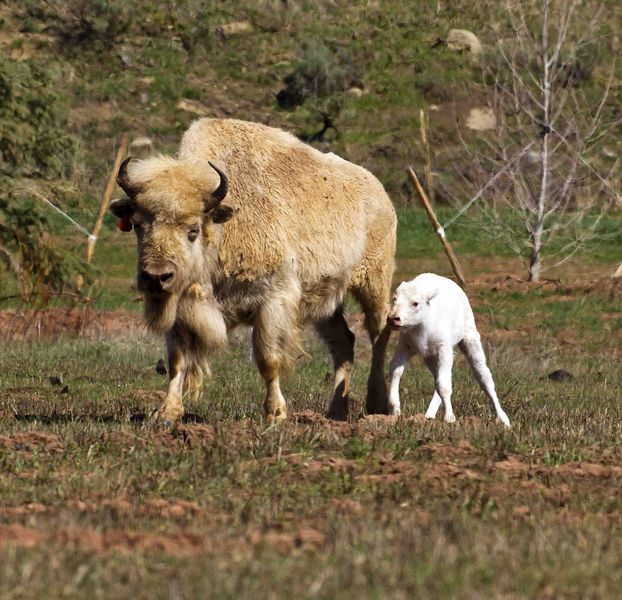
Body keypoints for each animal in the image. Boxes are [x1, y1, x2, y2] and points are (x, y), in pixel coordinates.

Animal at [109, 118, 398, 422]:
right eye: (139, 225)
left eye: (192, 230)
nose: (156, 276)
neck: (223, 226)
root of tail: (381, 194)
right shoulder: (182, 306)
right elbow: (177, 359)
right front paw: (167, 412)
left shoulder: (272, 301)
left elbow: (268, 359)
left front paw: (276, 413)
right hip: (326, 300)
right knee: (343, 342)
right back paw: (335, 412)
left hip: (373, 282)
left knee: (379, 333)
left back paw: (377, 404)